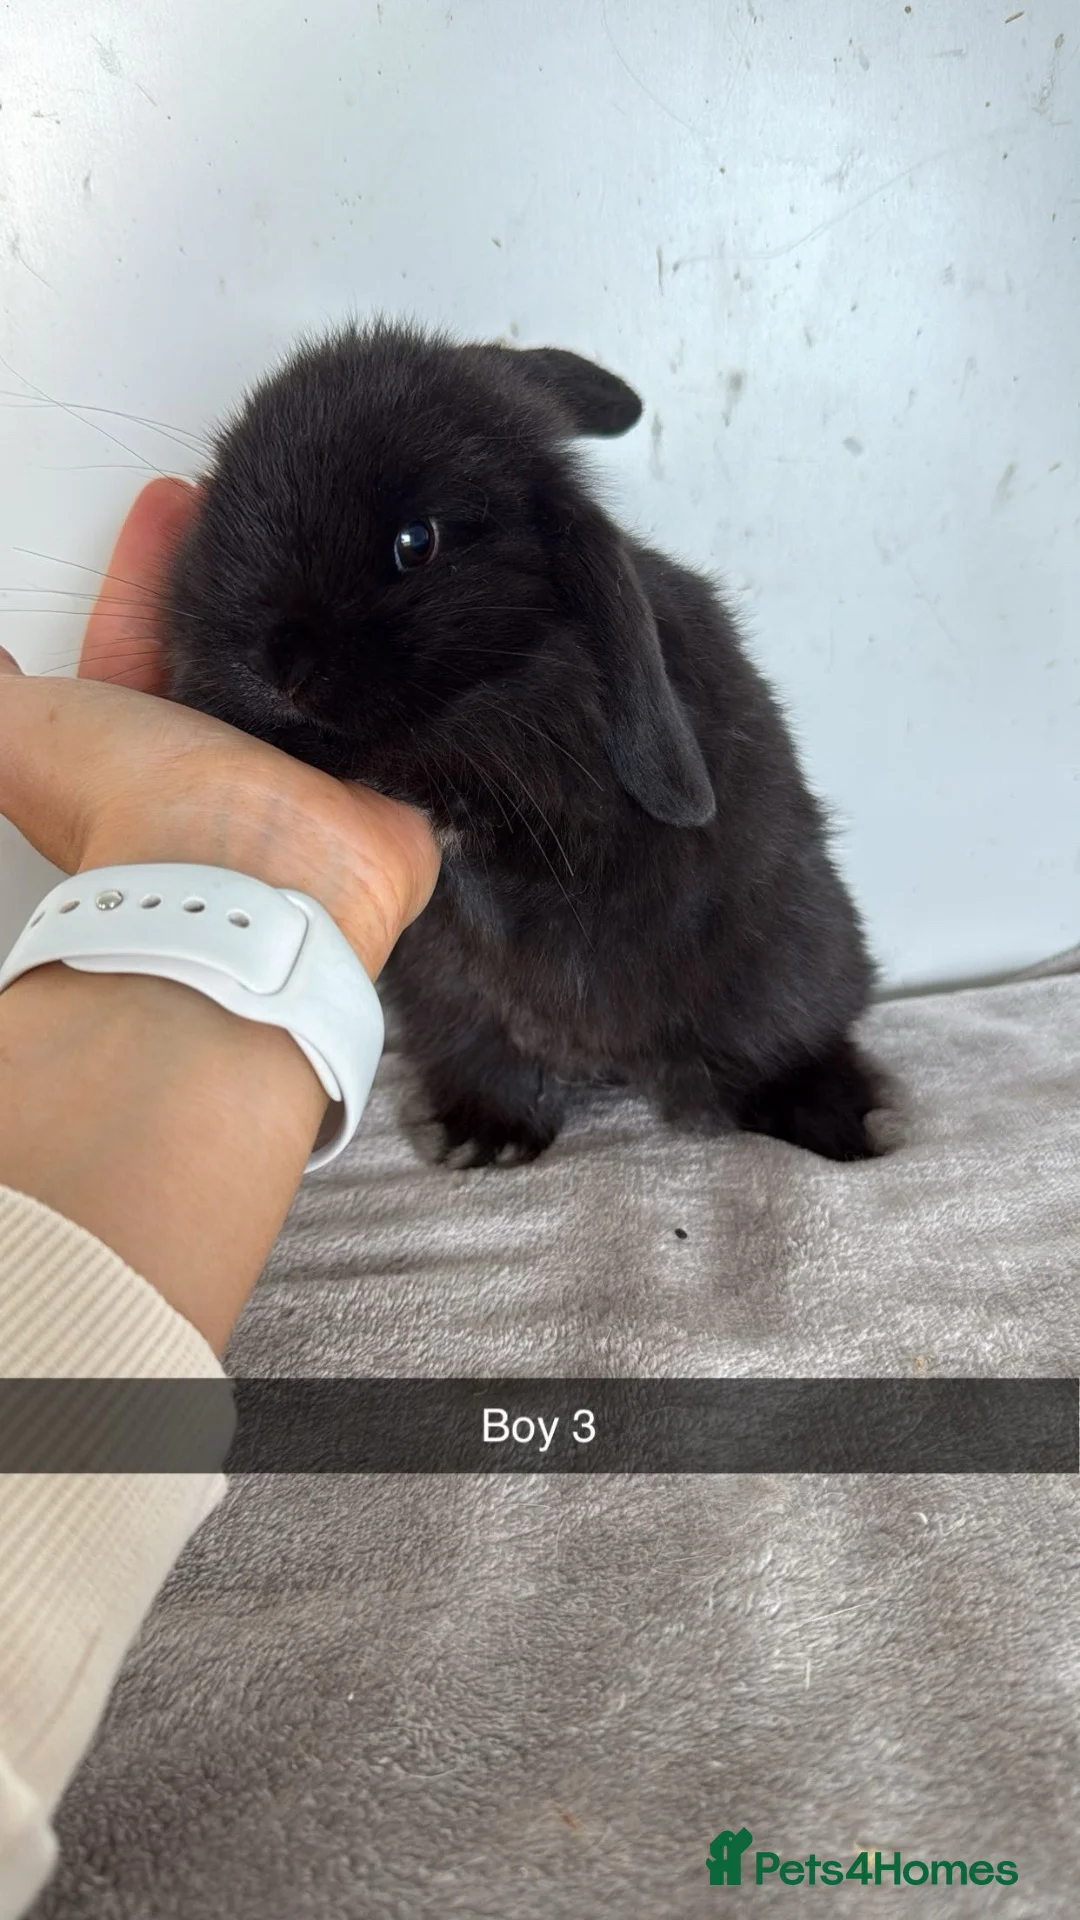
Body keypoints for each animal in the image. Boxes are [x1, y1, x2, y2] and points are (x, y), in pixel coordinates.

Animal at [162, 320, 885, 1166]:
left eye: (417, 541)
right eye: (223, 482)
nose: (280, 663)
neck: (501, 671)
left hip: (786, 975)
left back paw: (834, 1117)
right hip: (450, 1006)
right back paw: (485, 1139)